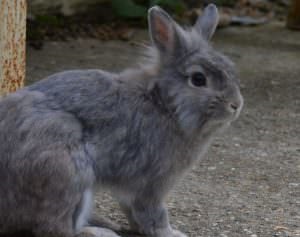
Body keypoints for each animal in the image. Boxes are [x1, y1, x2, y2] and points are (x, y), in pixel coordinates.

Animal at [0, 3, 244, 237]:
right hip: (69, 173)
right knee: (56, 228)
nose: (236, 105)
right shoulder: (151, 184)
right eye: (198, 79)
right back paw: (100, 232)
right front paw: (170, 233)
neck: (165, 105)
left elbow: (133, 212)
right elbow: (153, 212)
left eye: (231, 70)